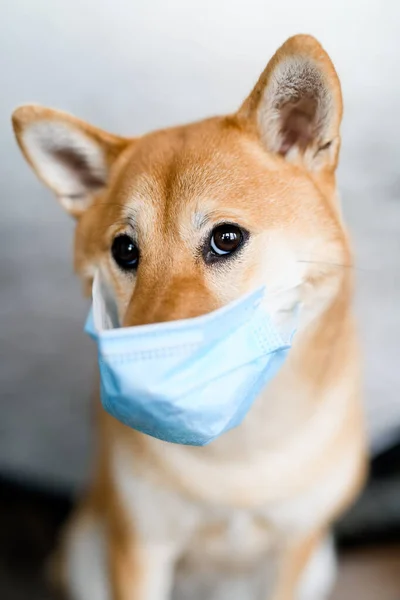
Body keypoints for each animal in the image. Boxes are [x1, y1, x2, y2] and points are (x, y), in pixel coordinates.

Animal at [10, 35, 368, 600]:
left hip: (319, 563)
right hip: (89, 549)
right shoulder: (141, 546)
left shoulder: (294, 548)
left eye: (226, 238)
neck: (235, 449)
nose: (143, 387)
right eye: (125, 250)